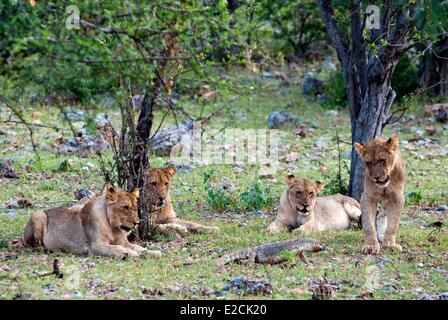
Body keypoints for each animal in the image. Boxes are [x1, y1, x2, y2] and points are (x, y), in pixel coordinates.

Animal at [25, 184, 159, 258]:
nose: (137, 223)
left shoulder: (123, 242)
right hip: (38, 214)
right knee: (34, 245)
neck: (113, 227)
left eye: (135, 208)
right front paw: (128, 253)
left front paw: (153, 252)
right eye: (125, 207)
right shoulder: (96, 246)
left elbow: (138, 247)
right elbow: (115, 248)